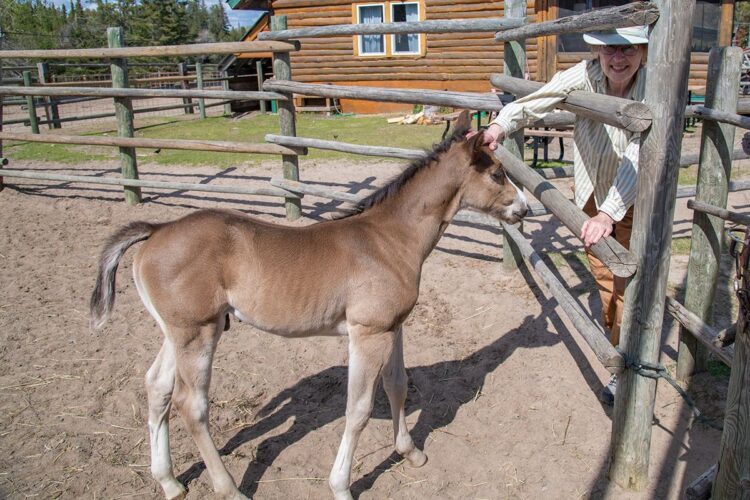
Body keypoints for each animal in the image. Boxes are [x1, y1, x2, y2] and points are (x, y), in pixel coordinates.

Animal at [89, 111, 528, 498]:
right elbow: (358, 409)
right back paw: (229, 488)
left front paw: (410, 452)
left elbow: (398, 385)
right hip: (199, 332)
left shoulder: (392, 327)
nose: (524, 209)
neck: (388, 239)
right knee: (191, 404)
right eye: (496, 173)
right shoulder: (368, 334)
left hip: (177, 332)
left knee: (157, 387)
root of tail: (156, 229)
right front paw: (341, 486)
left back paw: (169, 482)